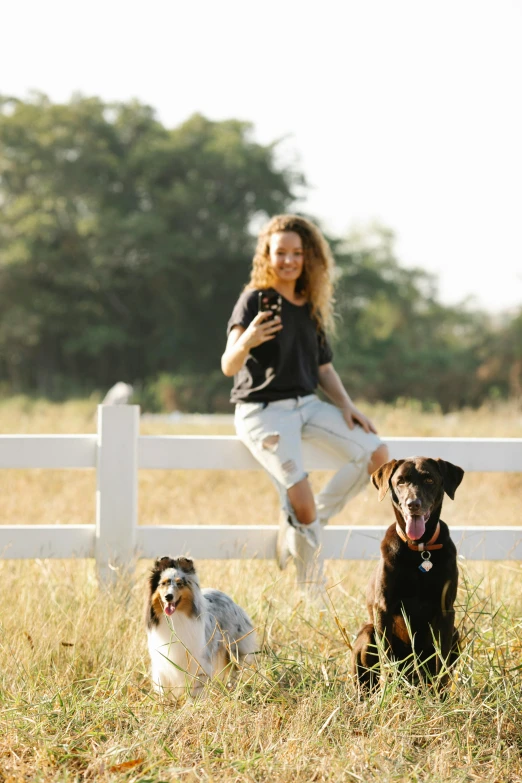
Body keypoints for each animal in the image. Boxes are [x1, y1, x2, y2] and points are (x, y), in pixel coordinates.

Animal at [144, 556, 258, 700]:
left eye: (179, 583)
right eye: (163, 583)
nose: (168, 597)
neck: (176, 617)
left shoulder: (198, 660)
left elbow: (196, 688)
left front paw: (191, 704)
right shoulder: (162, 662)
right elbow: (162, 687)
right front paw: (164, 702)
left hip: (234, 649)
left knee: (235, 670)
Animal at [352, 456, 462, 696]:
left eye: (429, 479)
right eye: (400, 481)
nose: (413, 504)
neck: (420, 549)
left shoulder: (445, 610)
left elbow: (442, 661)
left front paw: (440, 698)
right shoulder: (383, 609)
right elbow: (388, 660)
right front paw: (391, 695)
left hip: (457, 633)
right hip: (368, 632)